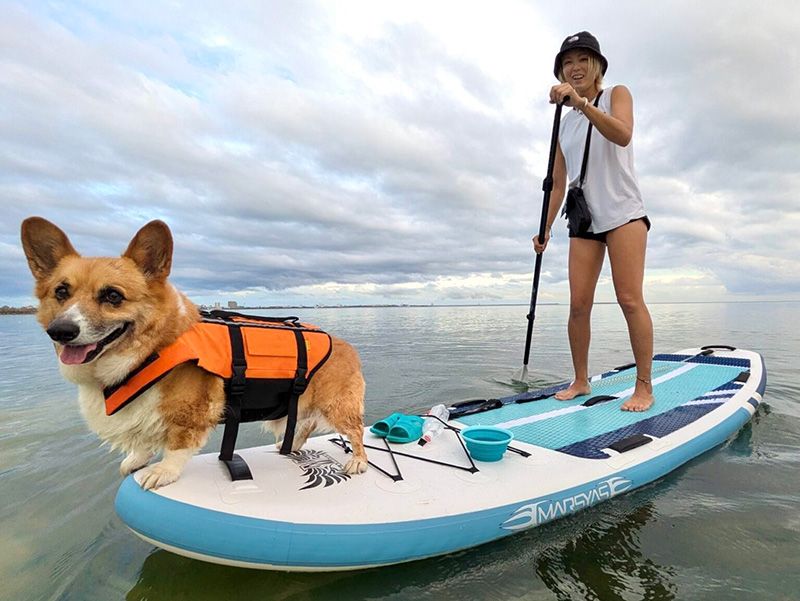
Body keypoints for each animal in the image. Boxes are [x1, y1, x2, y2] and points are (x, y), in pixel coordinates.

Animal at [19, 218, 368, 490]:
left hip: (337, 406)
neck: (149, 351)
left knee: (354, 432)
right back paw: (290, 446)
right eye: (61, 292)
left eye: (113, 296)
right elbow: (142, 439)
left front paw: (161, 472)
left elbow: (177, 446)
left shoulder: (191, 415)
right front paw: (137, 460)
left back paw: (358, 463)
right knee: (304, 427)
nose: (60, 331)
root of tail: (347, 346)